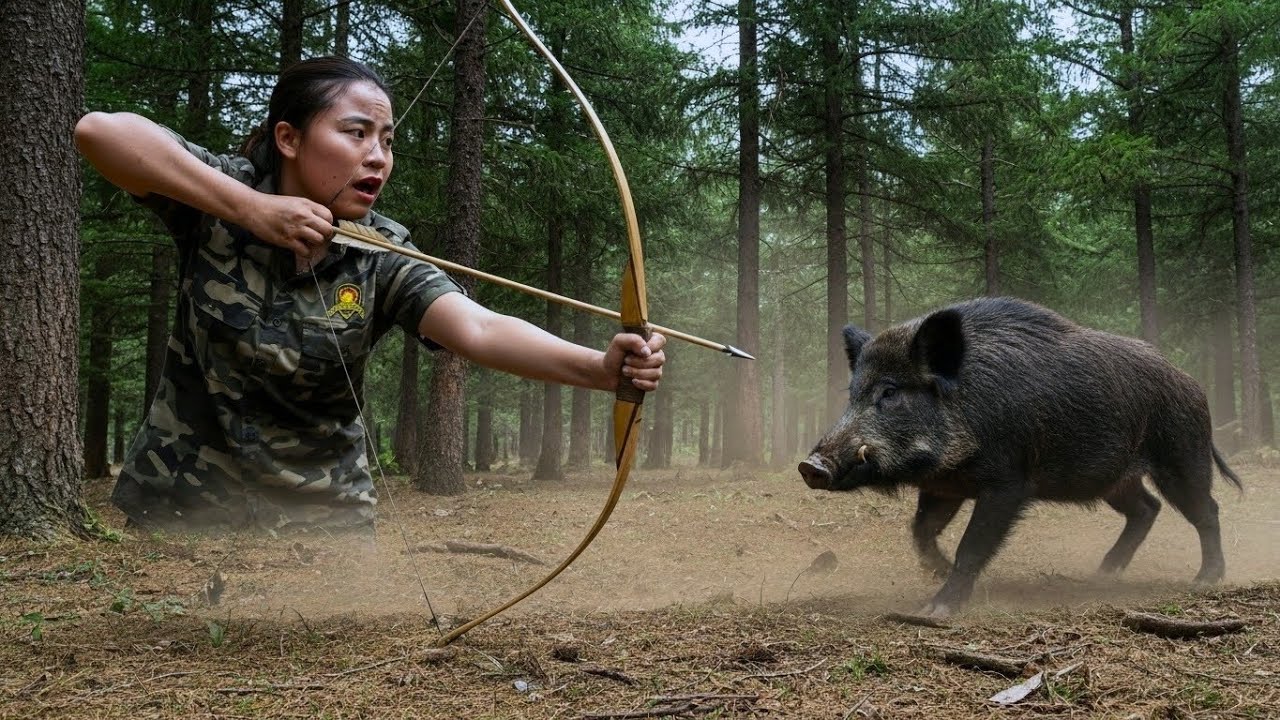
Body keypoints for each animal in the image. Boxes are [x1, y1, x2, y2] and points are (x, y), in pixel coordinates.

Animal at [799, 297, 1242, 618]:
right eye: (853, 394)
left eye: (889, 392)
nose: (810, 465)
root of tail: (1193, 384)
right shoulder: (944, 485)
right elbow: (921, 529)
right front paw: (936, 571)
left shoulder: (1007, 483)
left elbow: (972, 545)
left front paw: (936, 610)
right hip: (1115, 478)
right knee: (1146, 508)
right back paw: (1103, 573)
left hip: (1182, 456)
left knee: (1207, 510)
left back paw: (1205, 580)